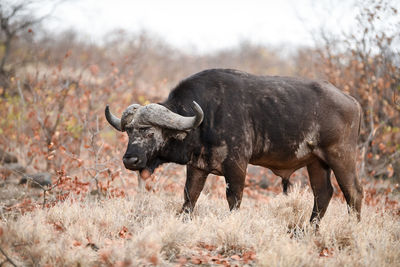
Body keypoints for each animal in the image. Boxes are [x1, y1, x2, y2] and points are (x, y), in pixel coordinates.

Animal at [105, 68, 362, 224]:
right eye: (128, 132)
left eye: (149, 131)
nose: (130, 159)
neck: (206, 117)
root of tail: (352, 102)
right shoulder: (197, 167)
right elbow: (189, 198)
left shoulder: (237, 165)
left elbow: (234, 199)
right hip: (316, 163)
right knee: (323, 193)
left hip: (342, 157)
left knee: (354, 193)